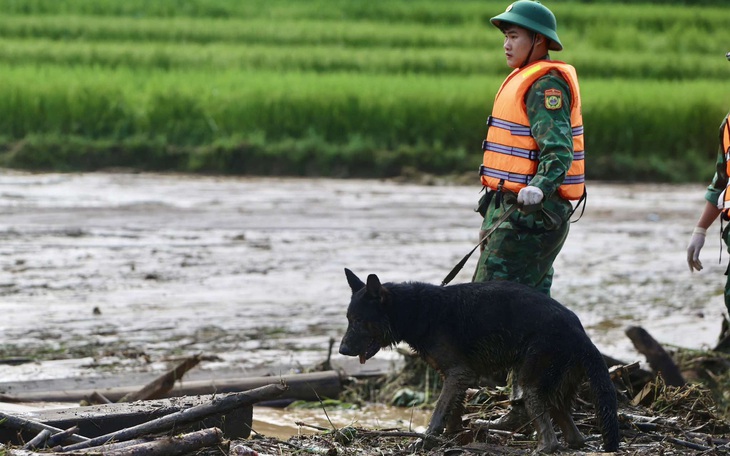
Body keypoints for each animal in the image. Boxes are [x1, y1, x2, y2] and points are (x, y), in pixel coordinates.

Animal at [338, 268, 616, 454]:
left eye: (360, 320)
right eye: (348, 319)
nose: (341, 350)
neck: (414, 310)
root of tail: (581, 334)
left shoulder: (458, 374)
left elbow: (438, 412)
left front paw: (426, 440)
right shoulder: (455, 376)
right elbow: (453, 410)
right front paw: (452, 436)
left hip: (532, 383)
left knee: (551, 440)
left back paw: (542, 448)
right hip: (554, 387)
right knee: (573, 436)